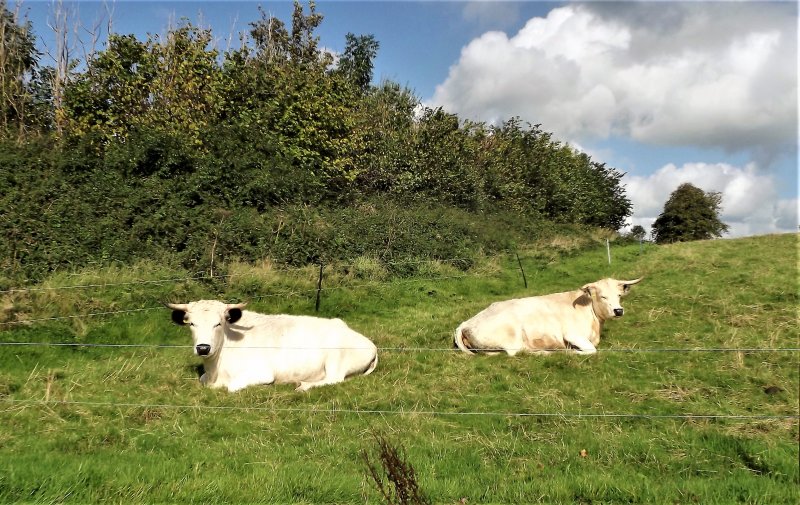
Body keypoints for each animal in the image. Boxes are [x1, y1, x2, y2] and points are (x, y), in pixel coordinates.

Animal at [166, 300, 378, 392]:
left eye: (218, 323)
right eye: (192, 324)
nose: (203, 348)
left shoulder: (262, 373)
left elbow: (232, 387)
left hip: (335, 360)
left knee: (335, 379)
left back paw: (303, 385)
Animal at [453, 277, 643, 355]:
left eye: (619, 295)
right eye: (603, 296)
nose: (618, 311)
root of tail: (466, 323)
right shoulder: (572, 334)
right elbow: (591, 351)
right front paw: (571, 352)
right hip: (512, 337)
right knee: (517, 353)